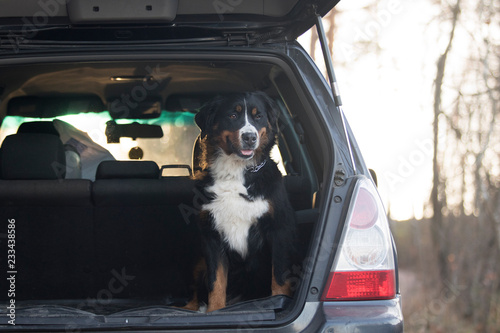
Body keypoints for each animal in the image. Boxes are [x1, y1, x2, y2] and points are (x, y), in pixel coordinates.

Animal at [187, 91, 296, 312]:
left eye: (258, 116)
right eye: (233, 115)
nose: (249, 137)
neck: (235, 173)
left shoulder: (279, 229)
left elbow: (279, 277)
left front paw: (277, 301)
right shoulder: (212, 235)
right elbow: (216, 281)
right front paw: (215, 311)